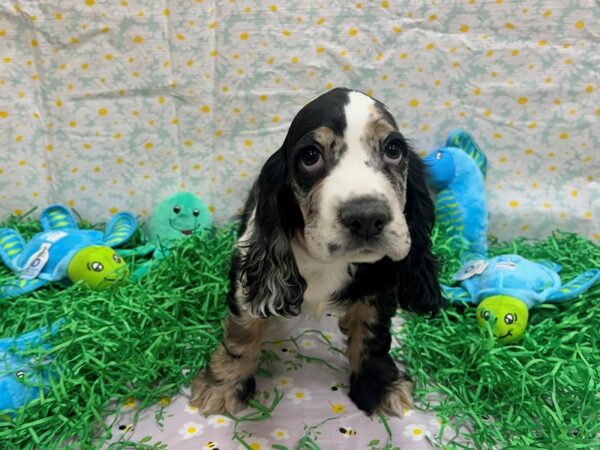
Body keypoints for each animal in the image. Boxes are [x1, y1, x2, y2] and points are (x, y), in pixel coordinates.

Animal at [190, 87, 442, 418]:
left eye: (394, 149)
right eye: (310, 156)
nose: (366, 217)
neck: (326, 261)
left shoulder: (379, 282)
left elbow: (372, 335)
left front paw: (380, 386)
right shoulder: (248, 274)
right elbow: (242, 331)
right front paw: (221, 386)